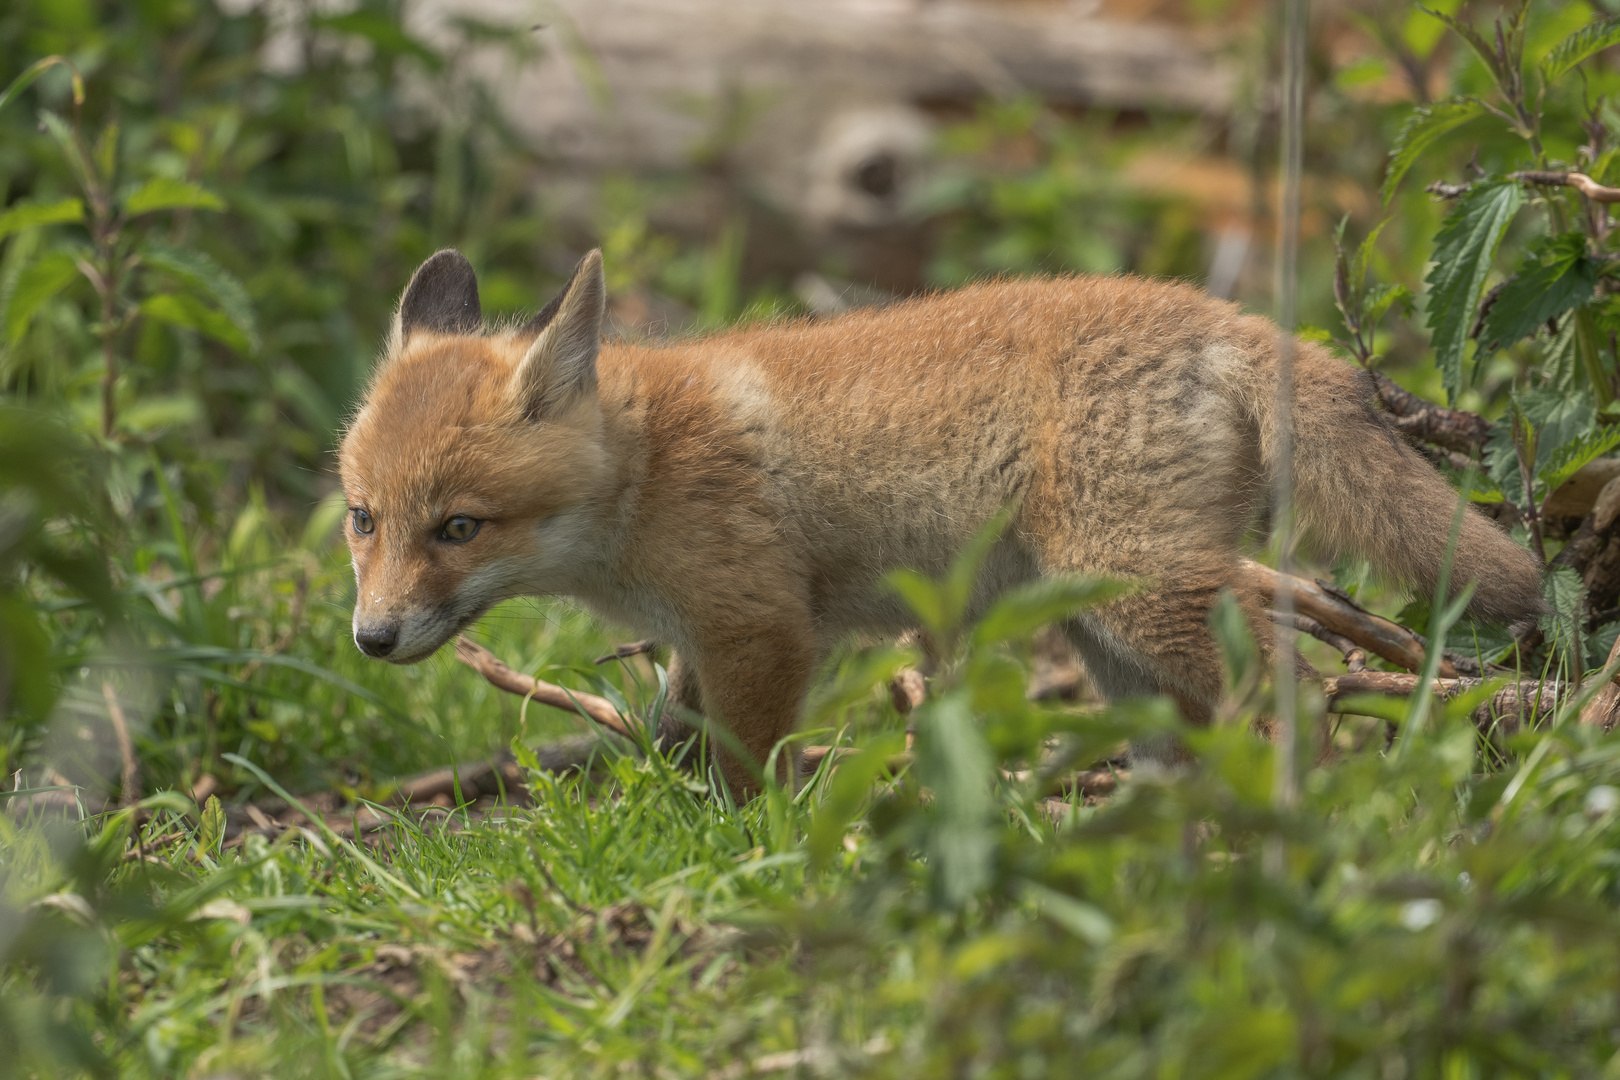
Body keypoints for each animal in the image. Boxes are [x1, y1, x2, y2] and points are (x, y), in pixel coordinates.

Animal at [338, 249, 1542, 793]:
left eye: (458, 528)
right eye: (362, 521)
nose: (370, 639)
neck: (644, 472)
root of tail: (1217, 310)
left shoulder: (763, 628)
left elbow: (742, 772)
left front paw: (739, 849)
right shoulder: (703, 640)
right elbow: (677, 737)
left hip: (1149, 594)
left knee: (1304, 681)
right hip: (1111, 637)